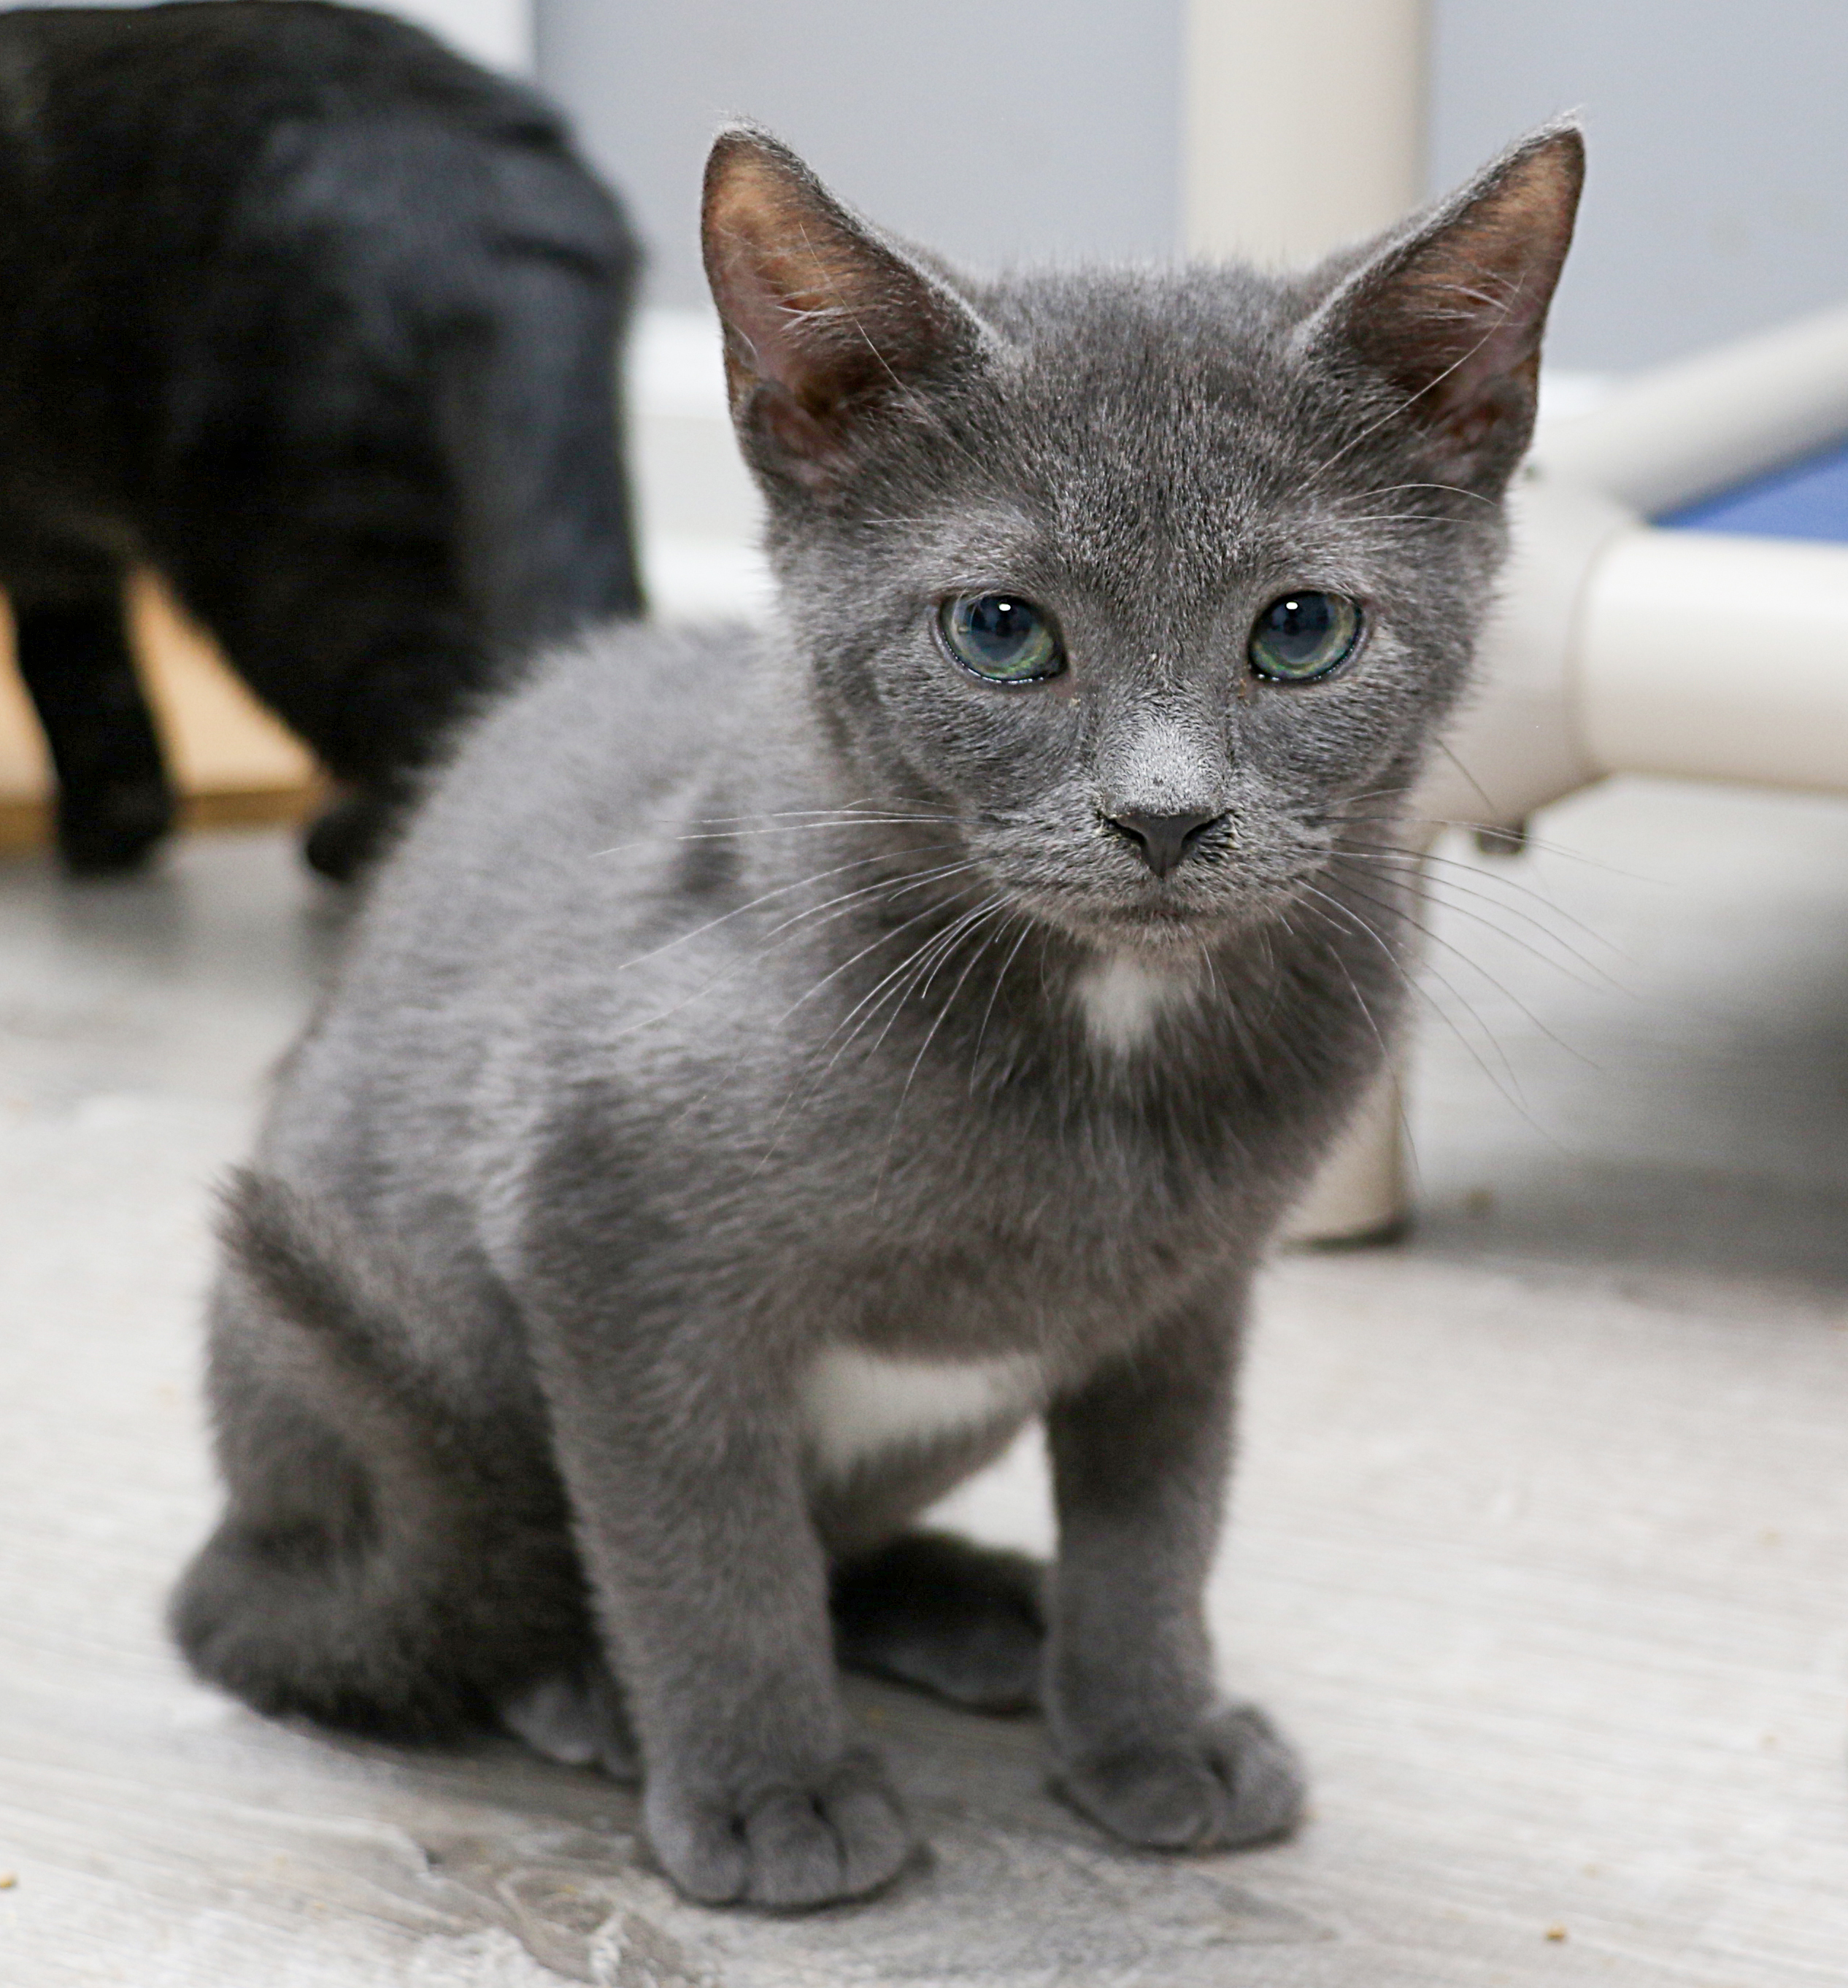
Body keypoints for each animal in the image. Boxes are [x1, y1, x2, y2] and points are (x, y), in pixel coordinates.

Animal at [0, 0, 639, 874]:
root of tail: (473, 167)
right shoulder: (58, 546)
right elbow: (79, 669)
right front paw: (116, 823)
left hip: (290, 551)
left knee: (443, 710)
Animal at [172, 120, 1574, 1908]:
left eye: (1302, 627)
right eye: (1001, 630)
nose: (1164, 818)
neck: (1107, 1045)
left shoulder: (1191, 1293)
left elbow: (1159, 1520)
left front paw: (1150, 1725)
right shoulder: (606, 1222)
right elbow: (706, 1535)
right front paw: (770, 1785)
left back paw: (976, 1605)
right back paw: (593, 1687)